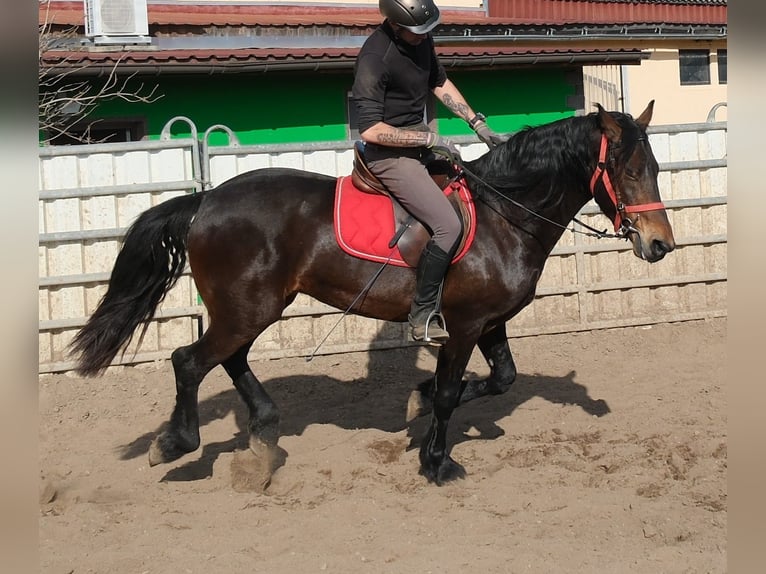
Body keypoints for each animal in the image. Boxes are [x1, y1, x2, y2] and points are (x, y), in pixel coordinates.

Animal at [69, 101, 675, 486]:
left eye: (654, 166)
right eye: (625, 169)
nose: (660, 244)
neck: (505, 213)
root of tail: (207, 199)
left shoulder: (491, 322)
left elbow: (502, 379)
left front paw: (420, 400)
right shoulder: (462, 325)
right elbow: (452, 393)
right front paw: (437, 461)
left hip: (252, 308)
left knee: (230, 360)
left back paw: (264, 433)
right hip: (246, 308)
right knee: (189, 361)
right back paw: (176, 443)